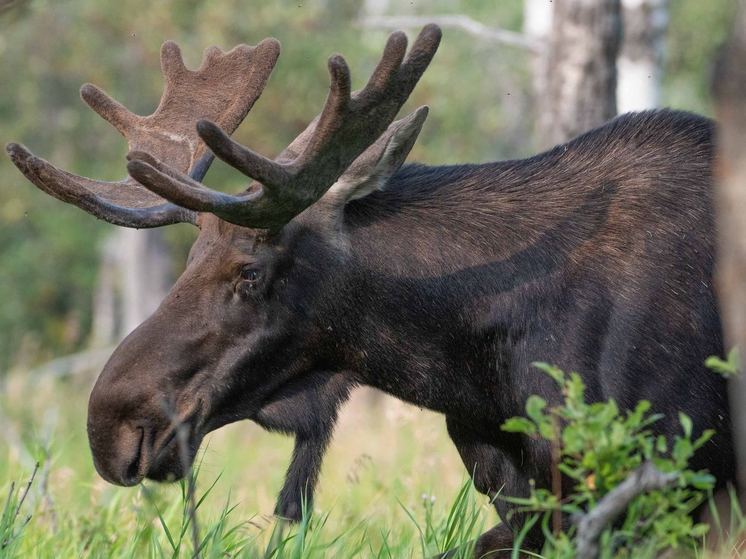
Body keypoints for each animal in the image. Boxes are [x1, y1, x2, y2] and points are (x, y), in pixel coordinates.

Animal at [7, 25, 732, 556]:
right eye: (189, 259)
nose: (110, 425)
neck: (472, 369)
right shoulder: (524, 492)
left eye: (250, 272)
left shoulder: (660, 476)